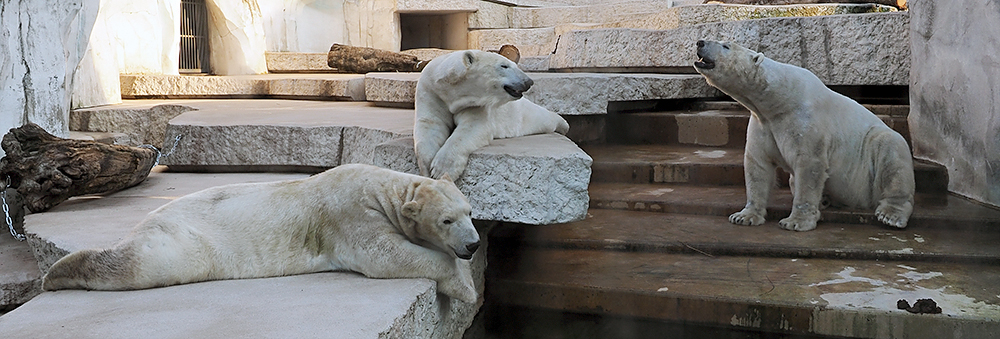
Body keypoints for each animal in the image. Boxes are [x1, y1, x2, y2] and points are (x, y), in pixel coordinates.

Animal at [41, 164, 486, 302]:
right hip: (187, 240)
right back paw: (57, 273)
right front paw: (464, 288)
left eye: (469, 212)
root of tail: (149, 216)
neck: (381, 188)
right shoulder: (351, 215)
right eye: (446, 220)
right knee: (143, 263)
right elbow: (385, 254)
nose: (473, 244)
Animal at [414, 49, 572, 181]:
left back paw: (564, 126)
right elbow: (430, 123)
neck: (451, 89)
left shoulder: (475, 105)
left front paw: (441, 170)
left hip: (524, 114)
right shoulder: (430, 90)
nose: (529, 81)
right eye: (504, 66)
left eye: (514, 65)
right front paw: (428, 167)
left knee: (545, 118)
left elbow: (473, 126)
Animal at [696, 39, 916, 231]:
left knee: (892, 155)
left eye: (725, 45)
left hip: (871, 158)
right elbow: (758, 165)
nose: (700, 42)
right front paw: (744, 216)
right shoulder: (762, 123)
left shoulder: (805, 121)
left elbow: (809, 165)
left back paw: (890, 214)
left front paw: (795, 222)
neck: (778, 99)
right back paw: (825, 199)